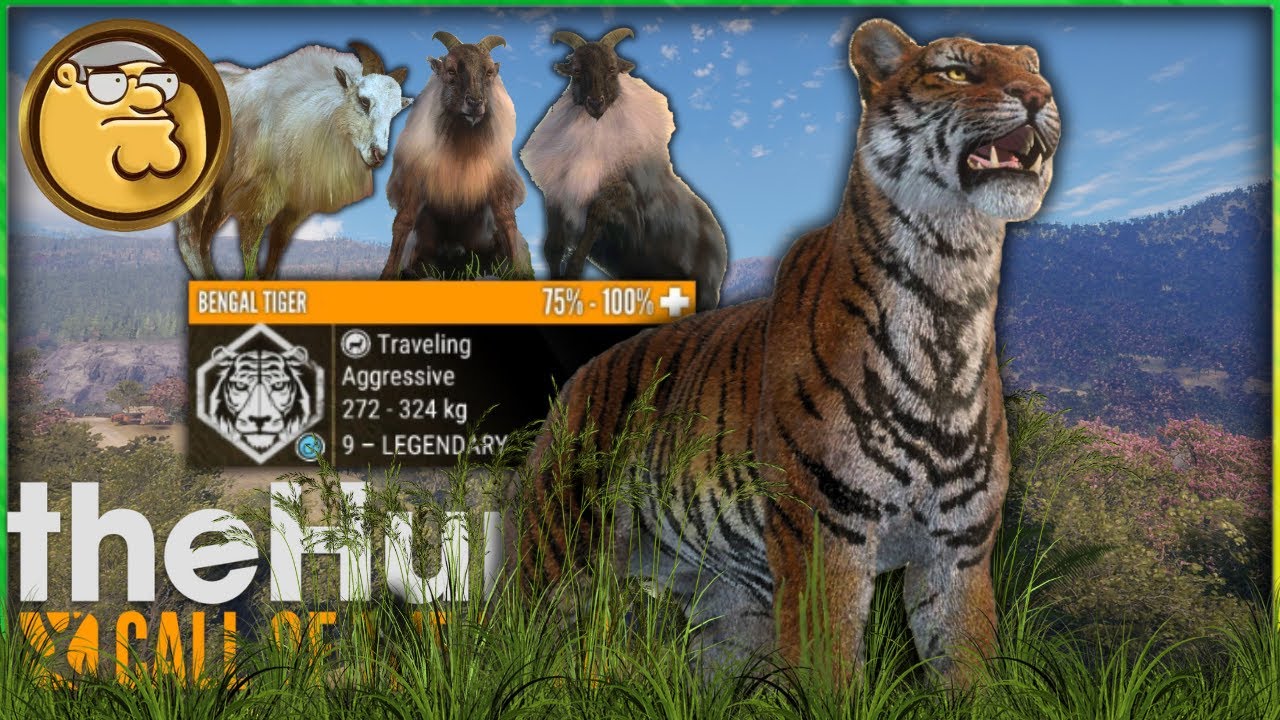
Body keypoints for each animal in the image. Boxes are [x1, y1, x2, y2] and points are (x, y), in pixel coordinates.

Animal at [519, 18, 1059, 687]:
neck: (950, 298)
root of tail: (574, 385)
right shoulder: (825, 535)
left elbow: (971, 672)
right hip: (557, 557)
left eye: (1033, 68)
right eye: (955, 71)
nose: (1038, 95)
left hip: (731, 606)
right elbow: (831, 674)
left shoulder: (959, 550)